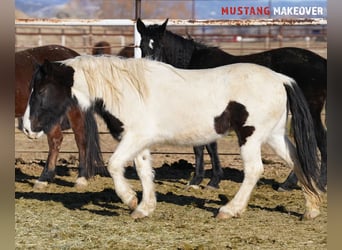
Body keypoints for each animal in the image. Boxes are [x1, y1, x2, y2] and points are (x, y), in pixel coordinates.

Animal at [23, 55, 324, 220]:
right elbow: (144, 172)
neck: (126, 90)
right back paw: (311, 208)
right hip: (274, 136)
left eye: (42, 90)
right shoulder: (140, 142)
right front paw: (144, 208)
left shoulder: (134, 136)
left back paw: (229, 210)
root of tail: (281, 78)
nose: (26, 127)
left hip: (250, 137)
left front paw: (130, 200)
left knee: (254, 171)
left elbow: (114, 166)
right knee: (298, 161)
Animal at [136, 18, 326, 190]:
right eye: (142, 46)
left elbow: (207, 146)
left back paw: (311, 183)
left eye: (160, 45)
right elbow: (202, 146)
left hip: (311, 111)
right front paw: (200, 180)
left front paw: (209, 181)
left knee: (318, 139)